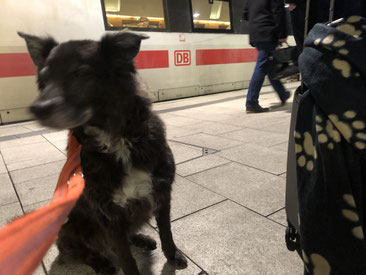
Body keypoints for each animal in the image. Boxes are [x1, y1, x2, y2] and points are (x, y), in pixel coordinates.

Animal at [18, 30, 187, 275]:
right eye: (45, 78)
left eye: (81, 73)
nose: (37, 109)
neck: (118, 140)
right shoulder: (108, 214)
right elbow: (126, 258)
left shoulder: (161, 194)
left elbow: (166, 233)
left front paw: (173, 255)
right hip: (69, 225)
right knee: (79, 251)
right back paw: (103, 263)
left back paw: (142, 239)